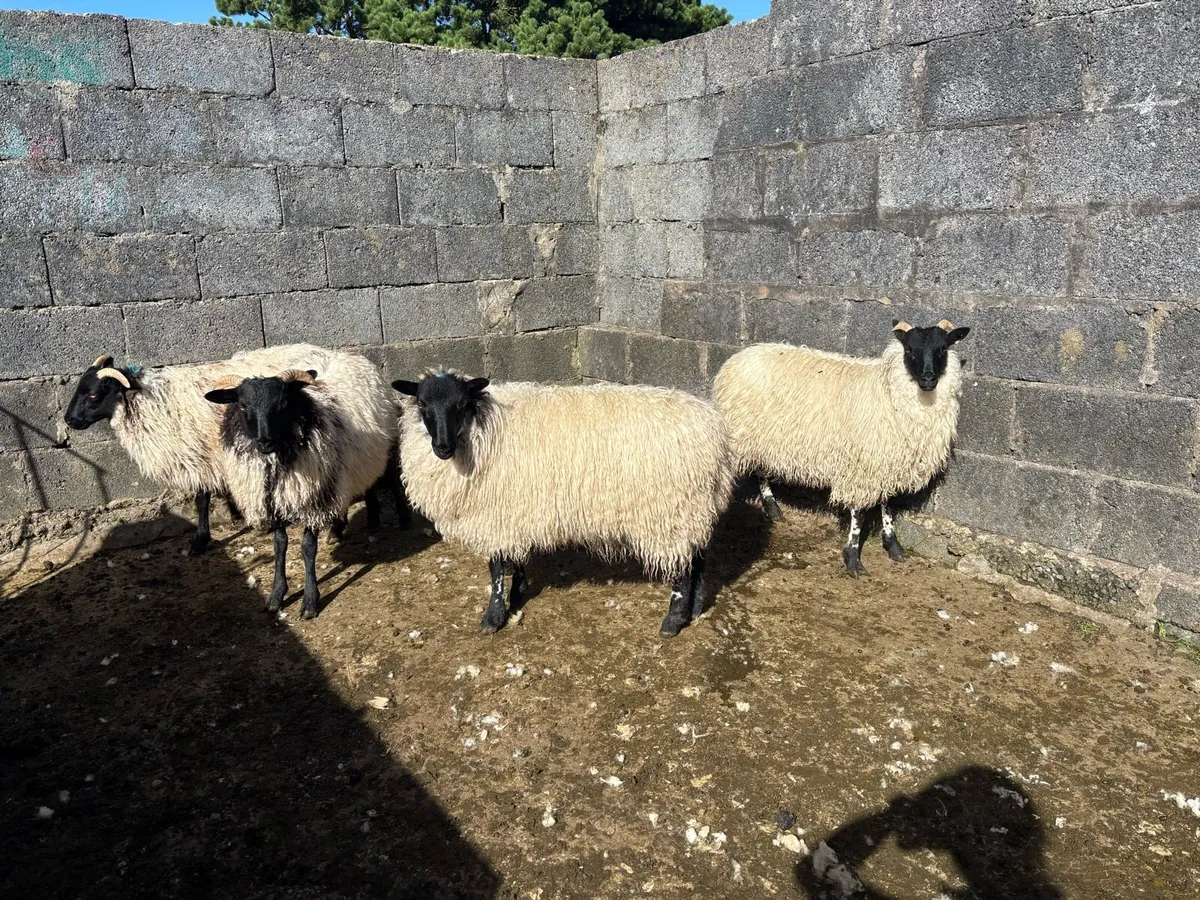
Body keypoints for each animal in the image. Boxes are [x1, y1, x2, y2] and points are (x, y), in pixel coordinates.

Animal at [64, 345, 327, 556]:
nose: (69, 420)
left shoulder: (200, 456)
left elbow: (201, 499)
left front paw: (200, 540)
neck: (145, 401)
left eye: (94, 395)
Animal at [204, 349, 400, 619]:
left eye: (283, 403)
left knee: (379, 481)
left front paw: (310, 601)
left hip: (376, 452)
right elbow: (280, 545)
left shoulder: (312, 498)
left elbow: (308, 548)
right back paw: (340, 528)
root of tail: (349, 354)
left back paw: (387, 520)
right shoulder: (274, 500)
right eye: (243, 405)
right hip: (342, 470)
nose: (264, 441)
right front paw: (276, 595)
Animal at [392, 370, 734, 637]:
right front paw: (518, 594)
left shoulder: (496, 515)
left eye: (462, 403)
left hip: (674, 511)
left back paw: (673, 621)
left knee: (683, 569)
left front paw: (494, 616)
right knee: (699, 558)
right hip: (695, 509)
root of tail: (717, 433)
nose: (442, 448)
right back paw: (696, 608)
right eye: (422, 404)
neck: (484, 427)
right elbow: (516, 559)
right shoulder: (515, 510)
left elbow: (496, 567)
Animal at [712, 319, 970, 576]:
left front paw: (893, 545)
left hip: (763, 437)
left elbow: (887, 504)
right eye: (909, 349)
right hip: (742, 434)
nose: (928, 379)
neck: (889, 390)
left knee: (762, 470)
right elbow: (859, 514)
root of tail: (741, 355)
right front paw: (853, 558)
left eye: (943, 348)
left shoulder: (886, 459)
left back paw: (773, 508)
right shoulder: (862, 464)